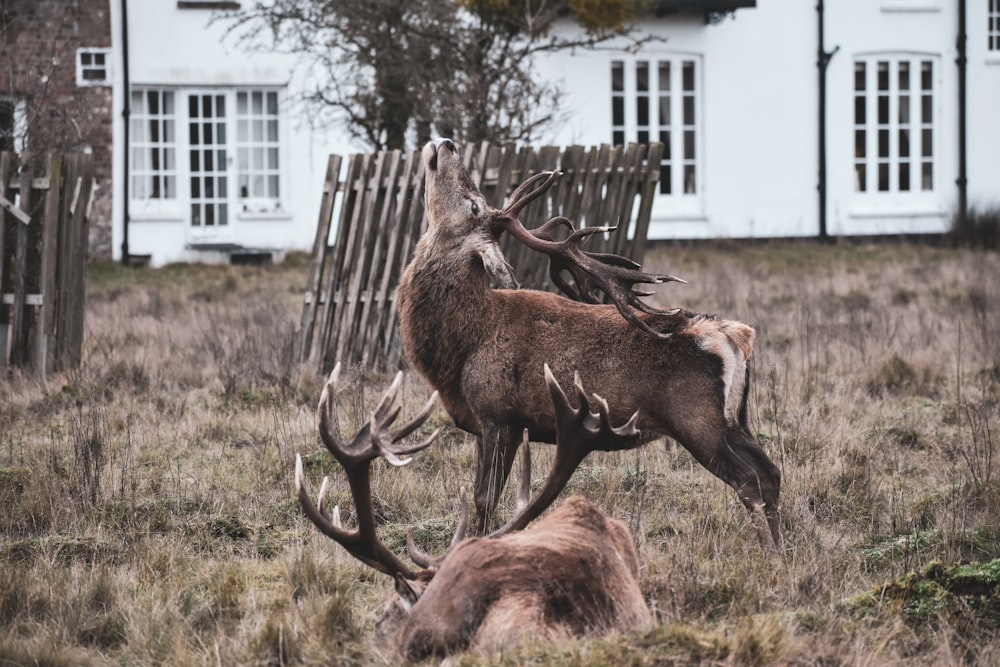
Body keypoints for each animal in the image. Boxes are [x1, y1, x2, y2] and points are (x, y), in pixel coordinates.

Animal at [396, 138, 780, 556]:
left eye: (474, 205)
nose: (446, 143)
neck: (464, 342)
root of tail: (735, 334)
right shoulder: (485, 424)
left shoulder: (501, 414)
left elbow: (485, 500)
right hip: (735, 418)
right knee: (771, 471)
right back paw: (785, 549)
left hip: (696, 418)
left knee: (749, 479)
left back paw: (770, 553)